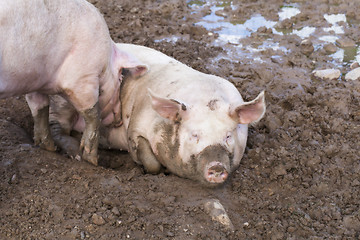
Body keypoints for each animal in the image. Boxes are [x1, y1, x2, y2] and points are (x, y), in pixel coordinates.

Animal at [0, 0, 148, 165]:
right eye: (120, 78)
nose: (119, 120)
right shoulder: (82, 79)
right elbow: (93, 114)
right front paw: (91, 160)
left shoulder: (34, 81)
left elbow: (40, 108)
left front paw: (47, 147)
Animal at [50, 44, 264, 187]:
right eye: (194, 135)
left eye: (228, 136)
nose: (217, 167)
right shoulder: (135, 127)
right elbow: (149, 160)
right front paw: (157, 170)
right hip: (65, 100)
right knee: (57, 127)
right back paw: (76, 154)